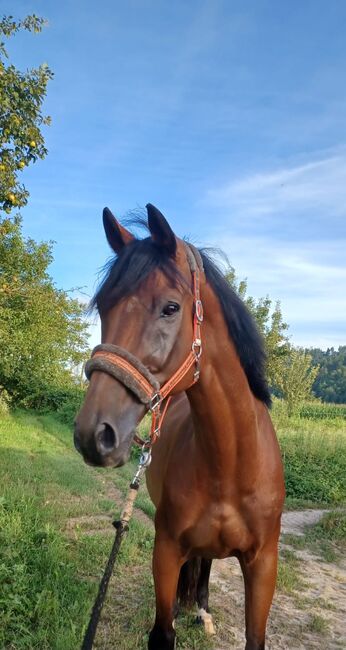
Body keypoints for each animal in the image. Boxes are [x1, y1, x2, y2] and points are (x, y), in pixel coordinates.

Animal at [74, 204, 286, 648]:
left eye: (170, 308)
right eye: (104, 308)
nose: (93, 435)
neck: (231, 465)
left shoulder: (264, 565)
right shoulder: (167, 550)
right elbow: (163, 630)